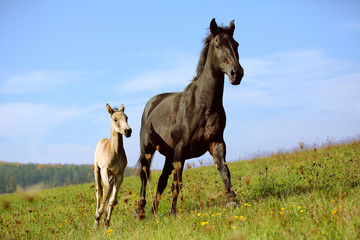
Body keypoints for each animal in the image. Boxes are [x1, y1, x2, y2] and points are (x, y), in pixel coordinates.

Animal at [135, 18, 245, 217]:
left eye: (236, 44)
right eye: (217, 45)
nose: (237, 73)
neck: (203, 106)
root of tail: (151, 103)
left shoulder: (217, 143)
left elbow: (224, 171)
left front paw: (232, 201)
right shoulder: (181, 150)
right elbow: (177, 183)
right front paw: (173, 212)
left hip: (168, 155)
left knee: (161, 180)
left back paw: (154, 211)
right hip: (148, 150)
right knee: (145, 177)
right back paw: (140, 210)